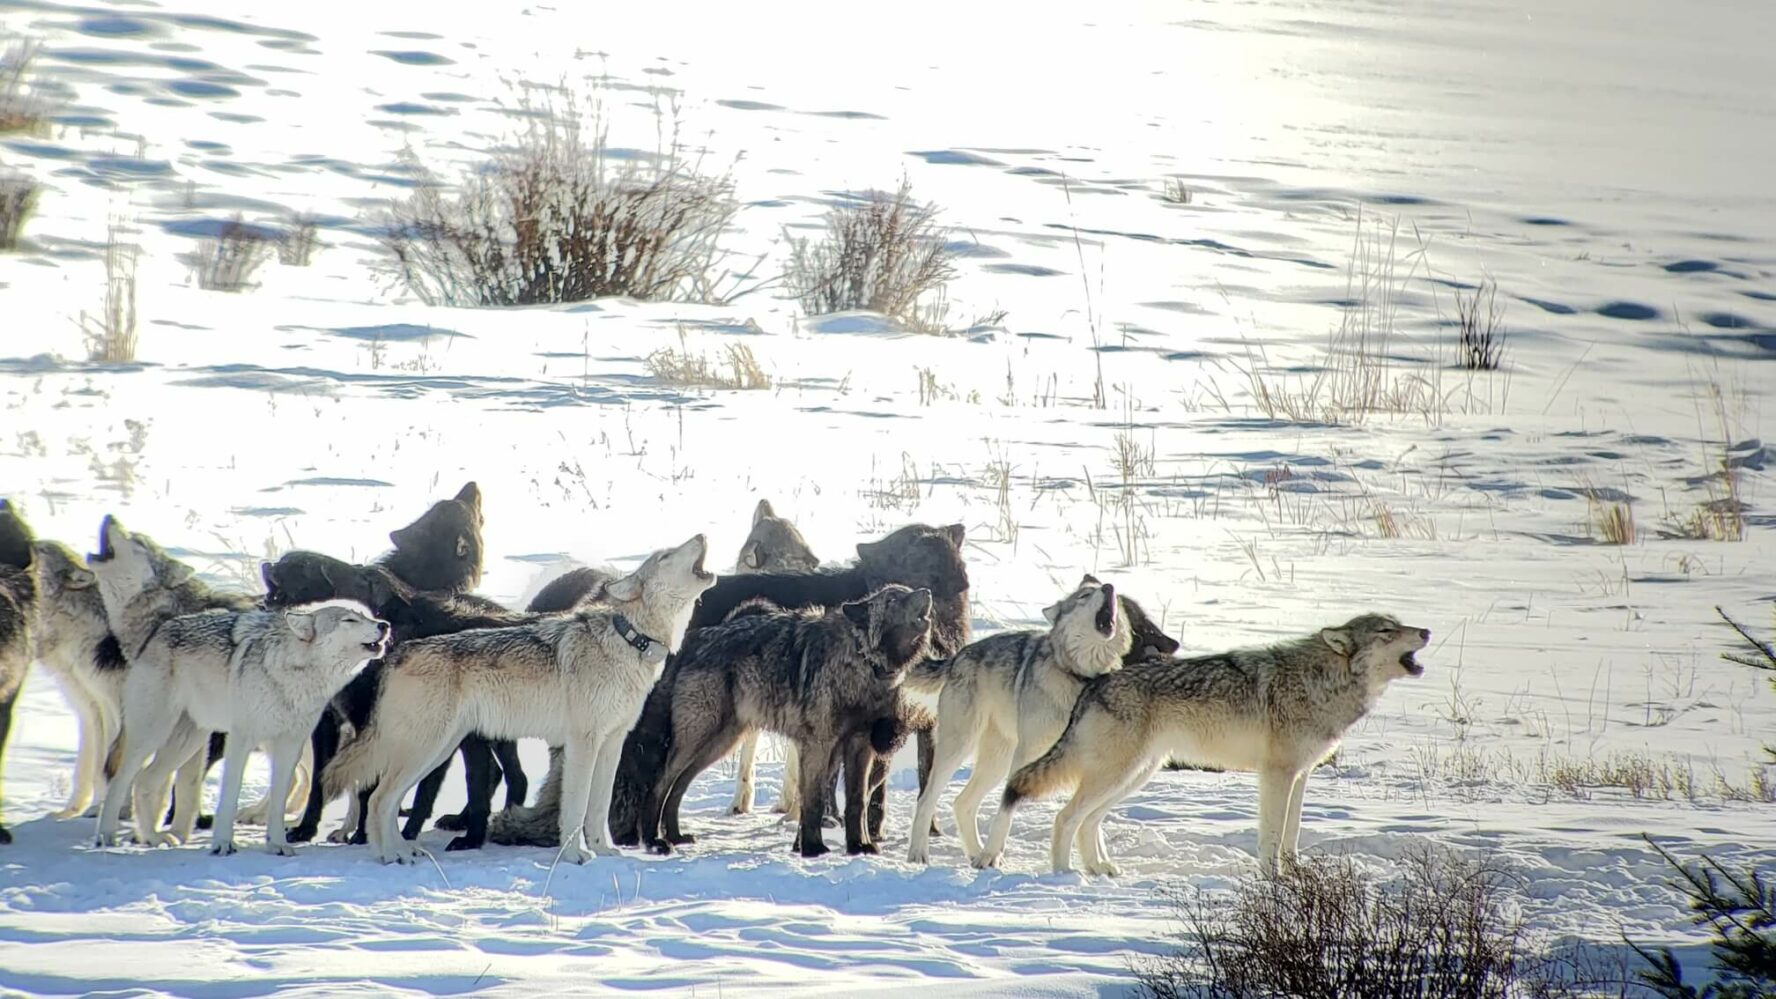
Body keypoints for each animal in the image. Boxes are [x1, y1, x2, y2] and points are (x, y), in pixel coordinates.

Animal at [322, 535, 716, 865]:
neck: (630, 638)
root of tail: (398, 653)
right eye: (666, 556)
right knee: (379, 799)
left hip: (438, 750)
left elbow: (598, 808)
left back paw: (400, 851)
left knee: (384, 801)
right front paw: (575, 856)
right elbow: (576, 808)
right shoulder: (582, 744)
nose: (701, 535)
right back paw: (392, 856)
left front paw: (605, 852)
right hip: (428, 749)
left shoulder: (612, 743)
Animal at [637, 584, 935, 858]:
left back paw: (675, 836)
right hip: (698, 738)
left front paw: (858, 846)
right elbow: (813, 800)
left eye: (907, 590)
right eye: (893, 599)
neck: (861, 657)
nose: (927, 592)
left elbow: (856, 801)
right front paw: (813, 849)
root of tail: (692, 640)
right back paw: (654, 841)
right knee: (661, 783)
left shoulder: (859, 747)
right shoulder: (818, 745)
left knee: (677, 787)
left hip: (719, 744)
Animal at [905, 576, 1167, 865]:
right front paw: (992, 855)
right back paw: (919, 854)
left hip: (996, 762)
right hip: (960, 748)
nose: (1108, 587)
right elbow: (1007, 808)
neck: (1080, 677)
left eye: (1116, 599)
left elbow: (1086, 815)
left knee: (962, 802)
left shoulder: (1088, 761)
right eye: (1085, 596)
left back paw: (975, 855)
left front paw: (1097, 863)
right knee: (926, 799)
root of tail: (957, 656)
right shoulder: (1028, 755)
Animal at [975, 613, 1430, 876]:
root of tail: (1096, 682)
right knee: (1065, 818)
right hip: (1116, 775)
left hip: (1133, 776)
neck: (1321, 682)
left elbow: (1292, 834)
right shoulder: (1277, 775)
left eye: (1399, 624)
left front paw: (1295, 876)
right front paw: (1273, 881)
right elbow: (1271, 836)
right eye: (1387, 631)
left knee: (1087, 821)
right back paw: (1064, 876)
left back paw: (1098, 869)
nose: (1426, 630)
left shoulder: (1300, 776)